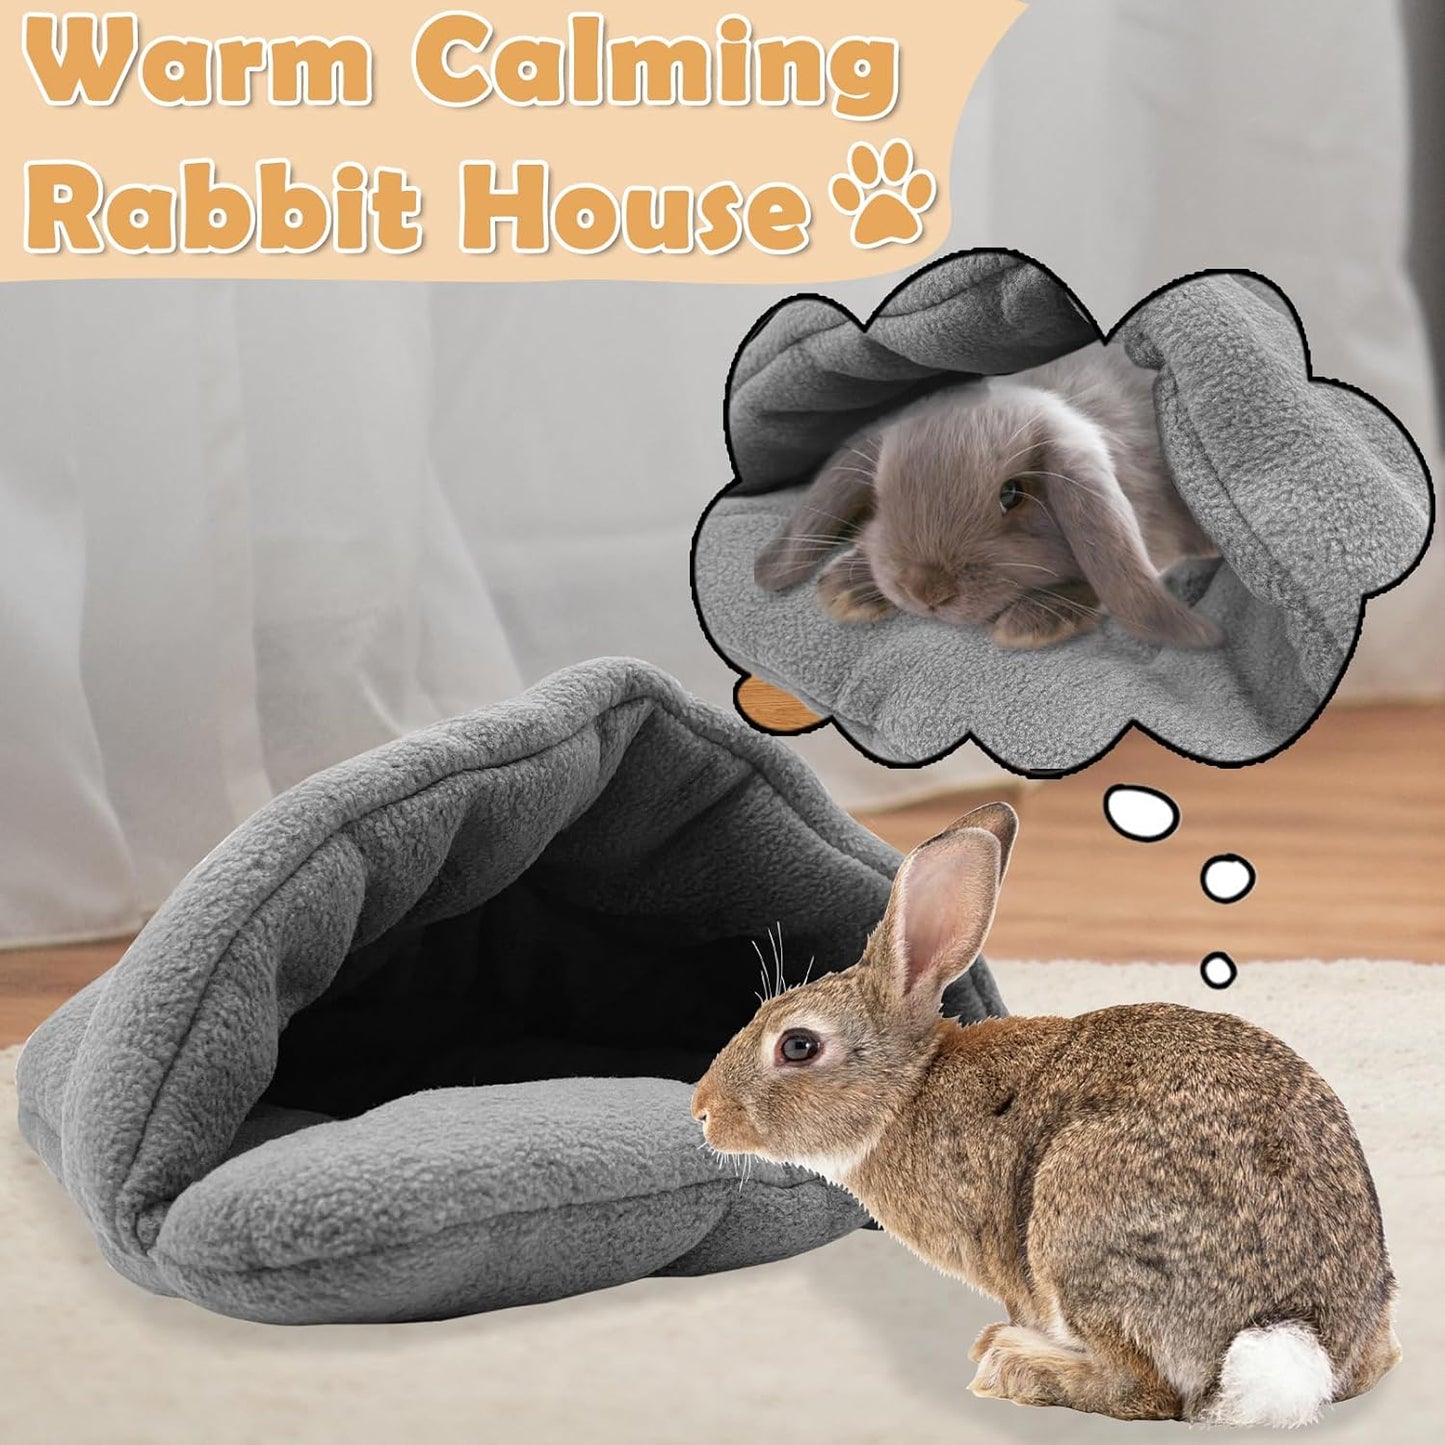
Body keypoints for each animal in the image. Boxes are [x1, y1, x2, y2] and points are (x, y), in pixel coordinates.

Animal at [691, 803, 1399, 1425]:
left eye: (798, 1046)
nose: (702, 1110)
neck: (908, 1089)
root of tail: (1294, 1333)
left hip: (1077, 1222)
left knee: (1146, 1392)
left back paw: (1014, 1364)